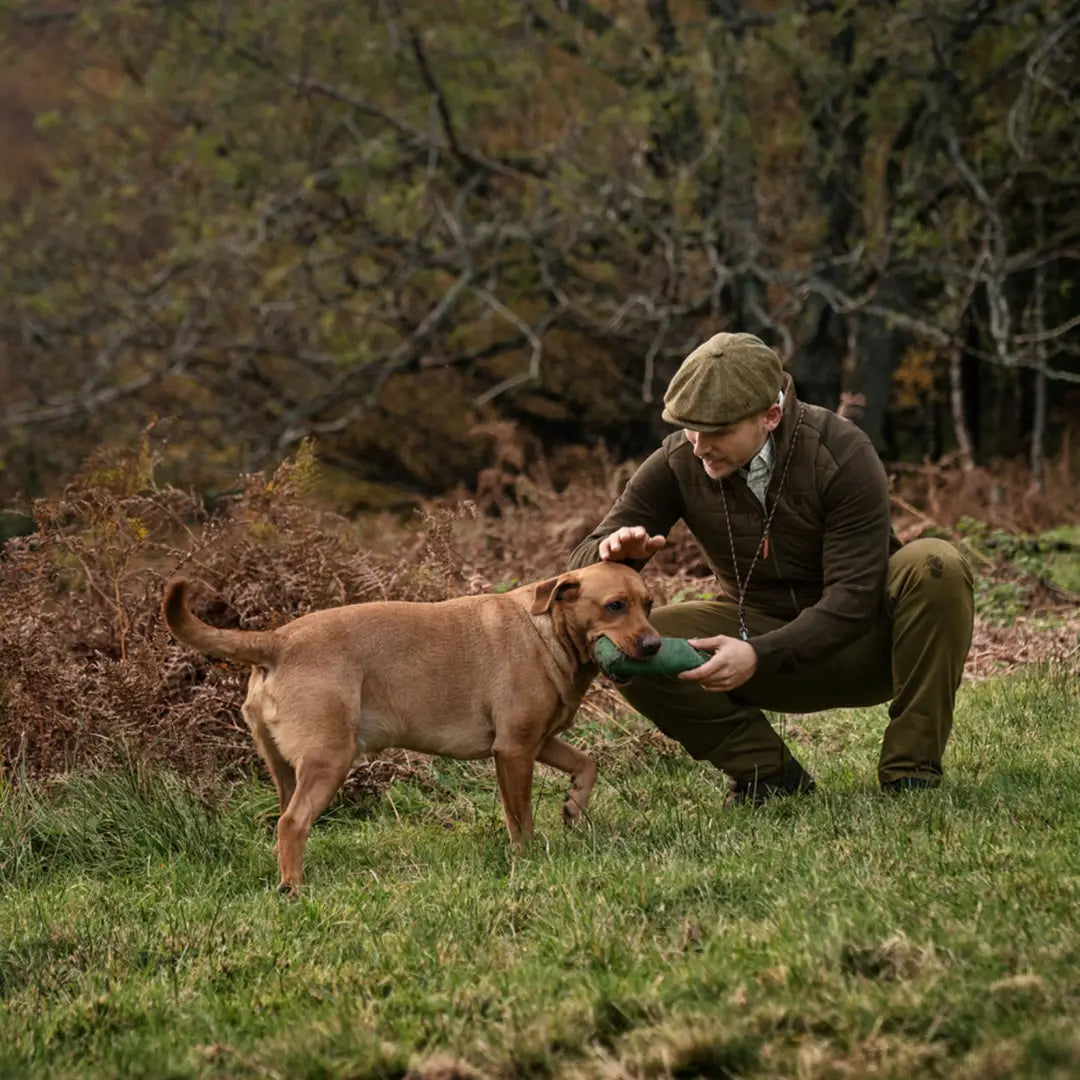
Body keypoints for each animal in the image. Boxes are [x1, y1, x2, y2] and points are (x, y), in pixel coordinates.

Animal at [159, 561, 656, 889]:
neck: (548, 631)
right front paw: (527, 858)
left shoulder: (540, 741)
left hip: (286, 769)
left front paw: (573, 807)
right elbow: (521, 820)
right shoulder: (514, 750)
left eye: (648, 605)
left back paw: (287, 876)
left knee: (284, 821)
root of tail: (277, 640)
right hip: (329, 761)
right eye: (615, 606)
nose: (654, 645)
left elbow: (587, 765)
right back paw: (295, 889)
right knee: (293, 823)